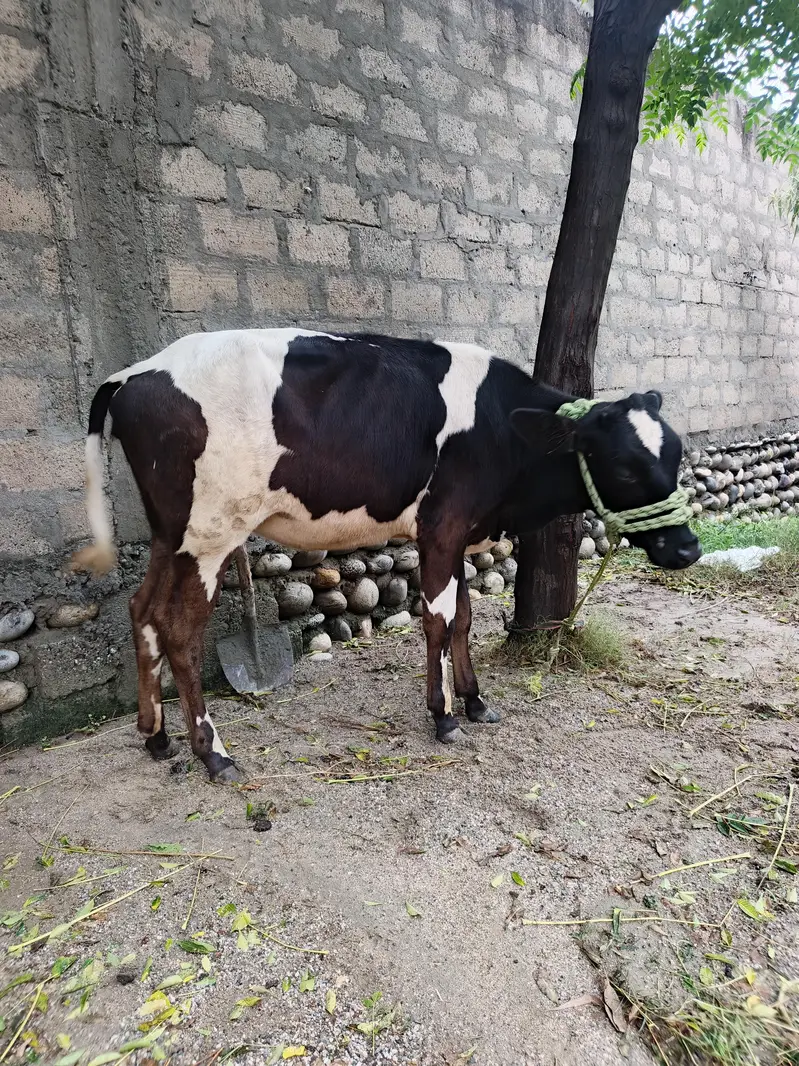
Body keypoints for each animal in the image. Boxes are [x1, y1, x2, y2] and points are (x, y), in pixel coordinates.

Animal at [70, 328, 701, 783]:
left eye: (676, 454)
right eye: (623, 467)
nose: (688, 547)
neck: (502, 432)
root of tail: (134, 373)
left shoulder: (459, 532)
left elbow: (463, 617)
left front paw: (475, 702)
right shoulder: (441, 525)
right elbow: (438, 619)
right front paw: (443, 716)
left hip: (170, 533)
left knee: (141, 610)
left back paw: (156, 736)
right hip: (210, 532)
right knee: (179, 628)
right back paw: (213, 753)